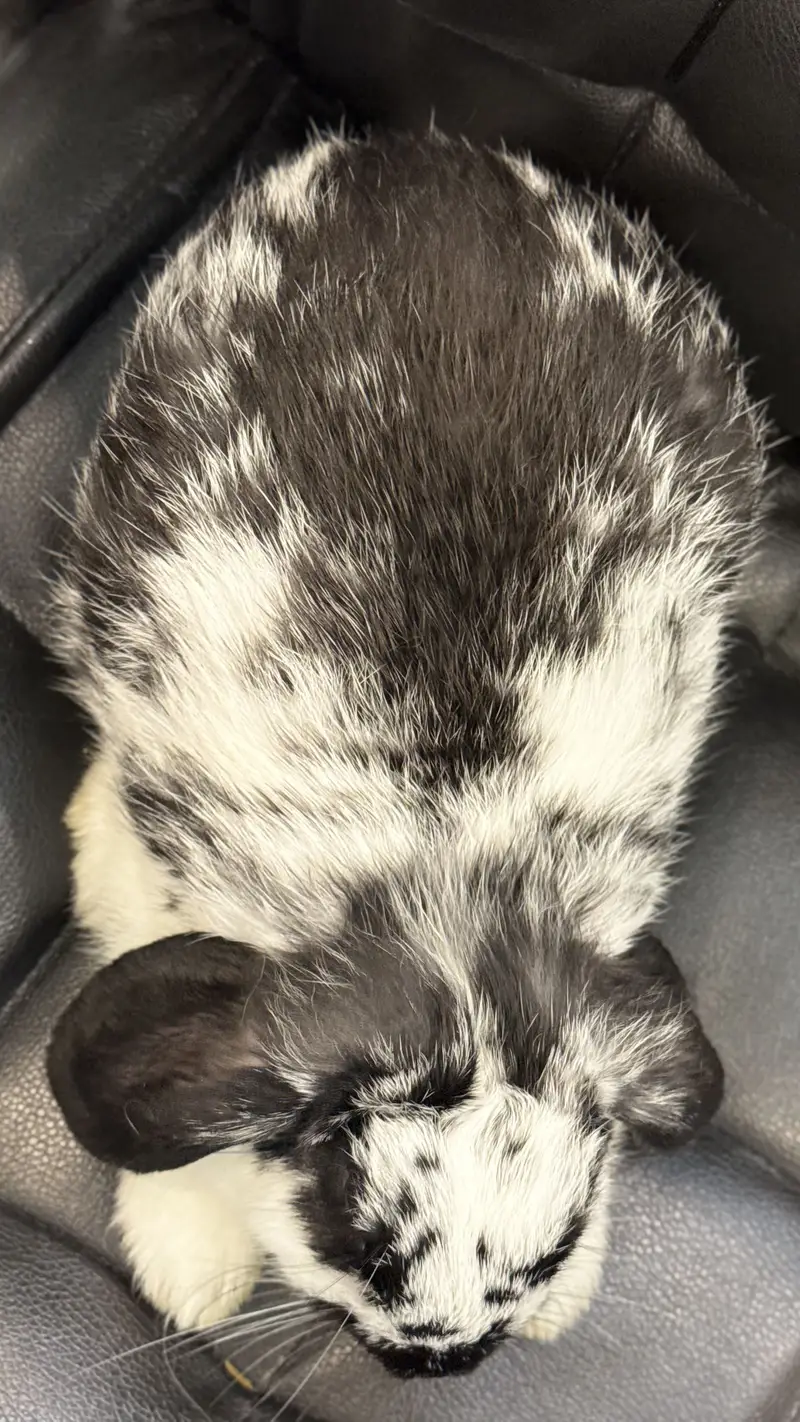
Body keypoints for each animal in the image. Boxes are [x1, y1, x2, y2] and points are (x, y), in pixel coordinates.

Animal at [47, 131, 767, 1379]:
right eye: (365, 1242)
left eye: (548, 1245)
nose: (442, 1360)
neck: (443, 852)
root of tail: (421, 154)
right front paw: (192, 1267)